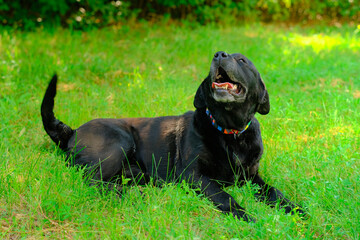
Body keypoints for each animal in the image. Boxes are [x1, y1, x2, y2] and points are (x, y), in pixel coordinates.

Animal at [43, 51, 306, 222]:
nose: (219, 54)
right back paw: (131, 194)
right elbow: (223, 195)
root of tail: (71, 132)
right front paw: (245, 215)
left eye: (242, 60)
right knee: (91, 180)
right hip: (120, 141)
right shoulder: (195, 175)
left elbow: (275, 192)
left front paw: (297, 211)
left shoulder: (252, 177)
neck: (229, 133)